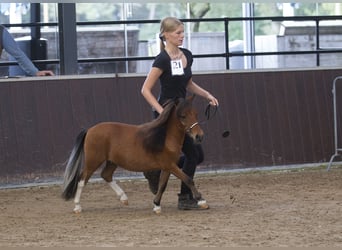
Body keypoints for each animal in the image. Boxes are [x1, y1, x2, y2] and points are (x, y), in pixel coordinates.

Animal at [61, 94, 207, 214]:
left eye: (196, 113)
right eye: (183, 115)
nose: (199, 136)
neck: (164, 137)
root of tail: (89, 130)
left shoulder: (168, 167)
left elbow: (162, 185)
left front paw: (156, 205)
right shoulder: (170, 165)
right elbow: (188, 179)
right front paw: (201, 200)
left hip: (112, 161)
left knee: (106, 175)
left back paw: (123, 198)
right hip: (93, 162)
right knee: (82, 179)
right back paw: (77, 206)